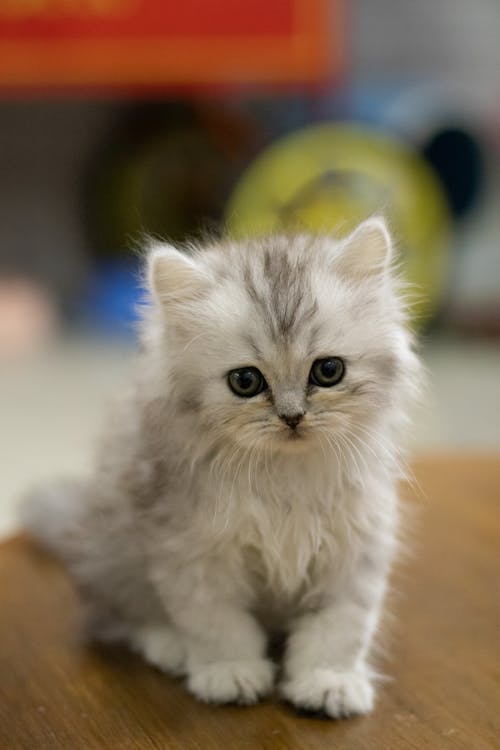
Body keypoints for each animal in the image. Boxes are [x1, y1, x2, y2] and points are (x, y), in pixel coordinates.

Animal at [24, 219, 422, 724]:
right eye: (246, 382)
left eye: (328, 371)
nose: (292, 417)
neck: (284, 476)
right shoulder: (193, 555)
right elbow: (218, 626)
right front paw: (230, 674)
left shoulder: (353, 551)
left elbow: (338, 630)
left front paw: (328, 682)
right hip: (113, 554)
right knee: (122, 617)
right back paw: (170, 647)